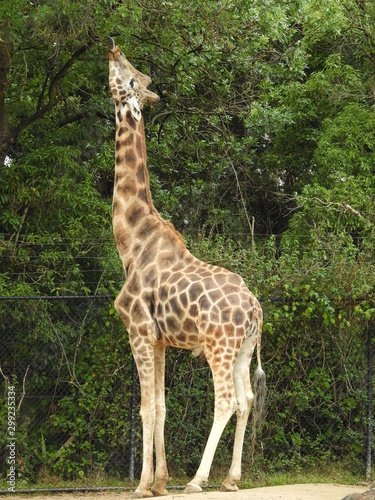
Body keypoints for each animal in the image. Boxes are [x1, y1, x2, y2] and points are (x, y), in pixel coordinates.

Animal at [106, 37, 268, 498]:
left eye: (127, 76)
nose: (113, 49)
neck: (129, 239)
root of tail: (255, 308)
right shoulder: (160, 340)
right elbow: (161, 406)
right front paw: (160, 481)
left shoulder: (138, 330)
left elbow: (145, 408)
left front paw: (144, 484)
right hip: (243, 349)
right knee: (247, 399)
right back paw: (231, 478)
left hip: (218, 346)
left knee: (227, 399)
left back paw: (198, 479)